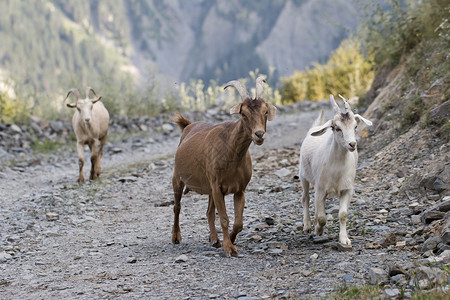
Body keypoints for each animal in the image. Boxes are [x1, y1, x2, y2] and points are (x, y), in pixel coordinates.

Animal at [171, 76, 276, 256]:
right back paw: (176, 237)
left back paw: (214, 239)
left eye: (265, 112)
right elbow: (225, 218)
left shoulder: (239, 189)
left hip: (209, 187)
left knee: (209, 212)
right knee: (177, 206)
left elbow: (238, 222)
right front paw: (229, 248)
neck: (232, 153)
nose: (259, 134)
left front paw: (231, 241)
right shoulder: (217, 186)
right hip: (178, 177)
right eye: (243, 114)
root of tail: (187, 126)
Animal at [300, 94, 370, 246]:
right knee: (305, 198)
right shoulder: (320, 188)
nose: (352, 144)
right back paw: (307, 226)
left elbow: (343, 214)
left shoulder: (347, 189)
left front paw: (344, 239)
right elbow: (322, 217)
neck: (336, 169)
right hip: (303, 175)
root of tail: (317, 126)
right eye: (337, 128)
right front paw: (318, 229)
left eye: (355, 126)